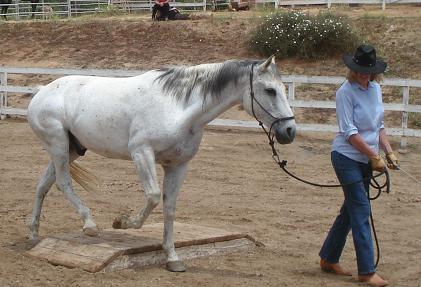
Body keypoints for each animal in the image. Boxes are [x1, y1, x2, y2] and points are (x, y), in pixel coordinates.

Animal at [27, 56, 296, 272]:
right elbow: (154, 195)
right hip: (59, 146)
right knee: (62, 182)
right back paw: (89, 225)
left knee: (43, 185)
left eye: (283, 88)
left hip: (70, 150)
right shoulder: (141, 153)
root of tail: (42, 91)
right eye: (270, 90)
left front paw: (172, 258)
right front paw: (123, 222)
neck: (178, 108)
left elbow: (169, 207)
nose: (290, 131)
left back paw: (33, 233)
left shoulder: (178, 165)